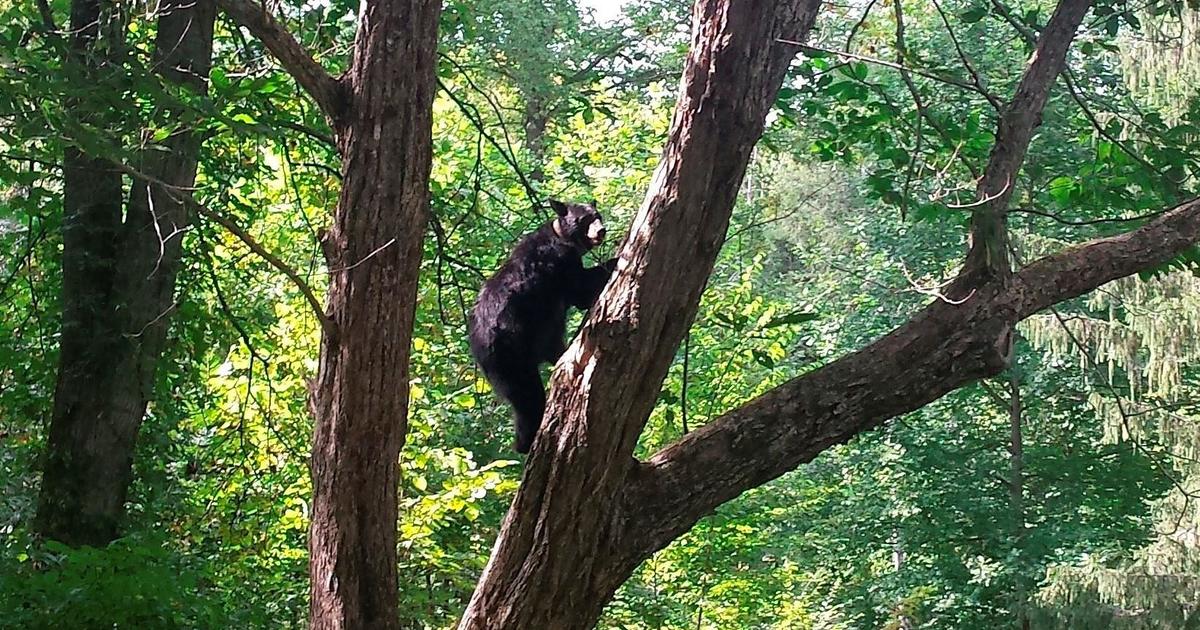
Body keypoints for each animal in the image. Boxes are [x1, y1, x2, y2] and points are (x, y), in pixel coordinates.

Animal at [468, 199, 619, 448]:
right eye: (584, 219)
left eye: (598, 216)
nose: (601, 231)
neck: (563, 238)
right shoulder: (559, 262)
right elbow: (581, 289)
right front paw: (615, 259)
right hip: (509, 352)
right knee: (527, 397)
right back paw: (526, 440)